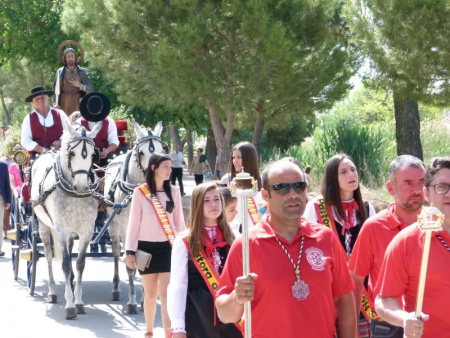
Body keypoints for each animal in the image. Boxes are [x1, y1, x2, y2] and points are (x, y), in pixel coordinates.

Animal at [31, 123, 101, 318]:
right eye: (72, 154)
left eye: (93, 154)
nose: (82, 186)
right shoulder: (60, 230)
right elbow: (65, 265)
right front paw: (70, 305)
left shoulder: (87, 231)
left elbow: (79, 264)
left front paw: (78, 301)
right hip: (44, 226)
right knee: (48, 256)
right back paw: (52, 292)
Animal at [103, 120, 164, 312]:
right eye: (142, 152)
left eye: (163, 149)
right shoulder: (126, 229)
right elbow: (130, 264)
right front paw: (132, 302)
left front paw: (145, 299)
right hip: (114, 226)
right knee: (116, 253)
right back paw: (115, 288)